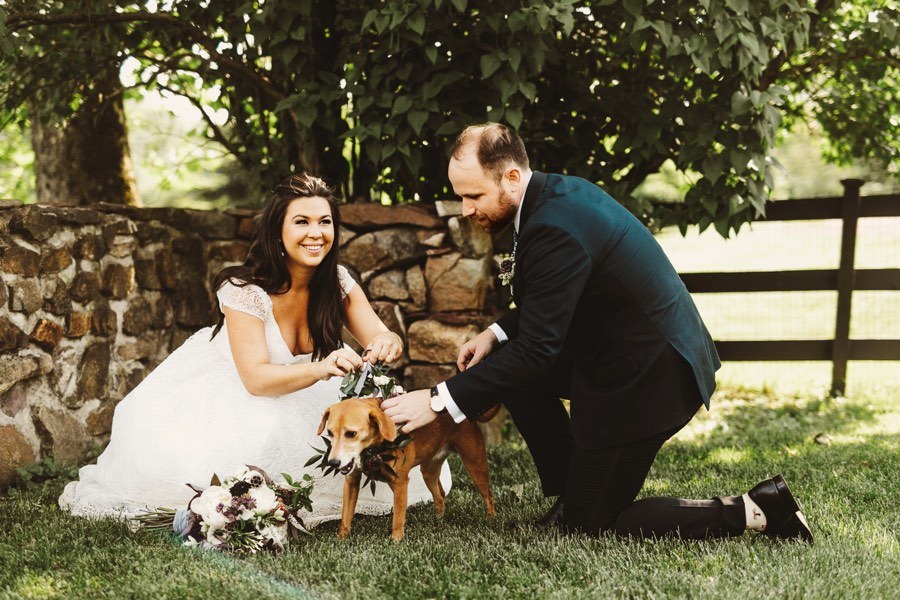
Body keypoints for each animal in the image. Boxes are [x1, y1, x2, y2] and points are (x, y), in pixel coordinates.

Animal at [316, 396, 500, 540]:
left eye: (351, 434)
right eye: (330, 433)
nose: (333, 463)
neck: (373, 450)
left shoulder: (400, 484)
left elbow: (398, 517)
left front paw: (396, 541)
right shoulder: (352, 481)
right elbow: (345, 517)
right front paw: (342, 539)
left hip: (476, 467)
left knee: (488, 496)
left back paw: (490, 519)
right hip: (428, 473)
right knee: (439, 496)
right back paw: (439, 521)